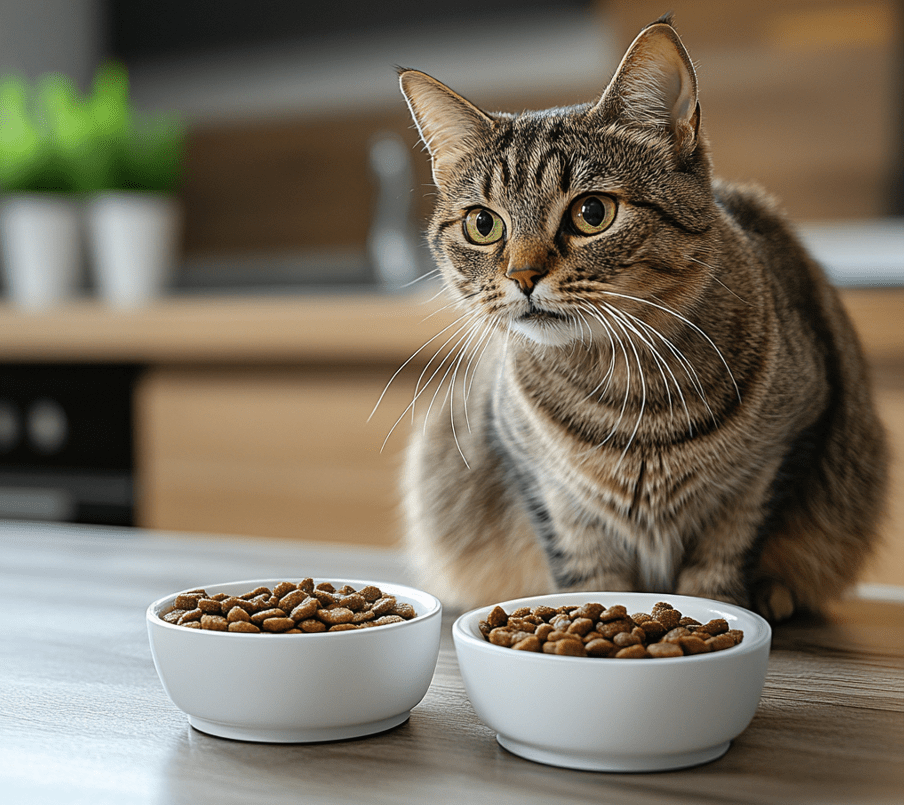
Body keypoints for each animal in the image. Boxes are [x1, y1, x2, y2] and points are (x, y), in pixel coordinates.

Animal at [394, 14, 888, 620]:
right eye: (483, 225)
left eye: (592, 213)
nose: (523, 275)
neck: (630, 389)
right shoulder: (543, 481)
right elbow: (587, 570)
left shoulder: (777, 453)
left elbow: (725, 556)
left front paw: (723, 607)